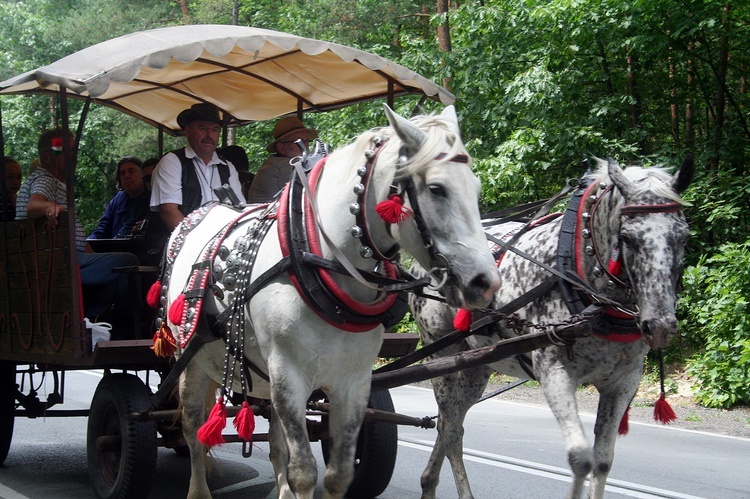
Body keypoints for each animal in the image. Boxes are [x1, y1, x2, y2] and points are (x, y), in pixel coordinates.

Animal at [158, 106, 500, 499]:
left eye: (475, 188)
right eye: (436, 188)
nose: (485, 282)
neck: (314, 254)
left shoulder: (353, 382)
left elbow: (337, 474)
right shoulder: (288, 375)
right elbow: (304, 472)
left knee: (275, 444)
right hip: (193, 361)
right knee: (193, 429)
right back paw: (198, 485)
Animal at [412, 157, 692, 499]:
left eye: (683, 236)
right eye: (628, 237)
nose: (660, 325)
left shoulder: (623, 381)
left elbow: (602, 461)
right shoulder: (555, 372)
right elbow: (581, 460)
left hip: (475, 367)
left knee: (448, 423)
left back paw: (428, 483)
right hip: (441, 357)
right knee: (452, 431)